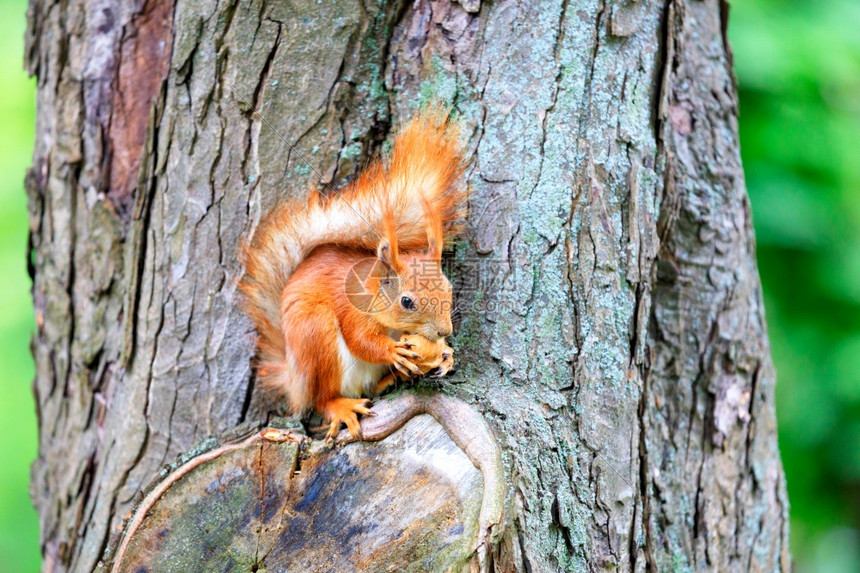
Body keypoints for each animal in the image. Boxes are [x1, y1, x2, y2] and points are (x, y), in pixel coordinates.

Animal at [242, 113, 466, 442]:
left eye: (448, 289)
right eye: (407, 301)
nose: (443, 331)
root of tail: (294, 378)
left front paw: (447, 355)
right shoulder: (353, 308)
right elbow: (360, 340)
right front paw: (392, 350)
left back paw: (392, 378)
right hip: (315, 335)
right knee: (322, 399)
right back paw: (343, 406)